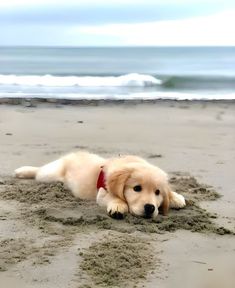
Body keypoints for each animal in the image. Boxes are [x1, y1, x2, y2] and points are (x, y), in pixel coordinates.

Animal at [14, 151, 185, 218]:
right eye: (137, 188)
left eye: (157, 192)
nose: (150, 208)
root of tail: (73, 155)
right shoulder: (102, 192)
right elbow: (116, 197)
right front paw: (118, 206)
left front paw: (176, 197)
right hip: (50, 174)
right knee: (39, 171)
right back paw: (22, 171)